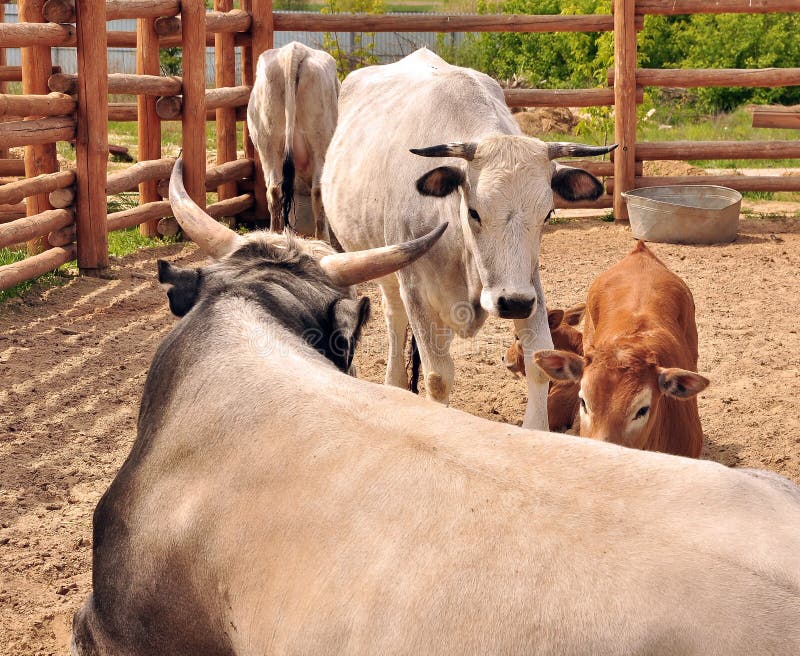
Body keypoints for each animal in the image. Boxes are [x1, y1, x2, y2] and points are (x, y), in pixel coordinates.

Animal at [247, 41, 338, 238]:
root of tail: (294, 50)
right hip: (320, 141)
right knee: (318, 190)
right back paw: (323, 238)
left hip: (268, 143)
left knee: (274, 189)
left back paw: (274, 233)